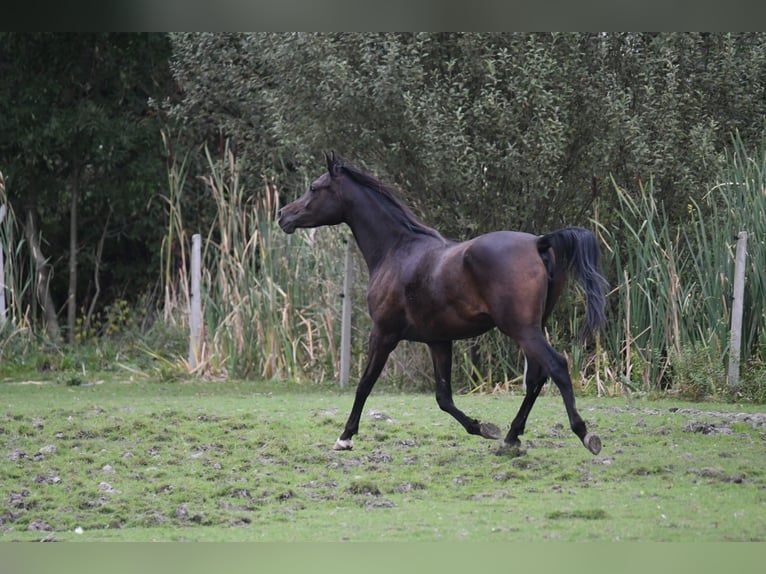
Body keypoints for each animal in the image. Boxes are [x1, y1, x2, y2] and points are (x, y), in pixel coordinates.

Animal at [280, 155, 608, 456]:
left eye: (314, 187)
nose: (283, 215)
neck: (397, 250)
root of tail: (539, 243)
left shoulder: (383, 334)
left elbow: (365, 383)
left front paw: (345, 436)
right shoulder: (439, 341)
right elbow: (443, 397)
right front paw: (483, 427)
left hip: (521, 329)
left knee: (557, 366)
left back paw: (585, 435)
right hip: (532, 327)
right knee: (537, 377)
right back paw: (511, 437)